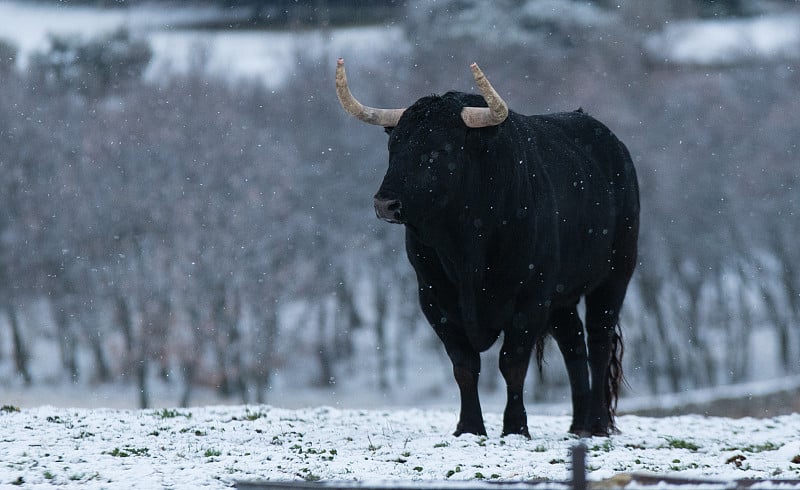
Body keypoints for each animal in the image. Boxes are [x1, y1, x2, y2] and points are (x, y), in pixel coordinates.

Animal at [334, 59, 640, 438]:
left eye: (440, 150)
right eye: (394, 147)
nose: (384, 204)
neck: (467, 250)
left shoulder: (530, 298)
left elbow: (513, 363)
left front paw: (515, 427)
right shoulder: (434, 299)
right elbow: (464, 365)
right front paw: (469, 427)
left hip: (615, 274)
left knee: (599, 340)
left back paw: (597, 425)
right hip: (562, 297)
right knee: (573, 343)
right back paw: (577, 425)